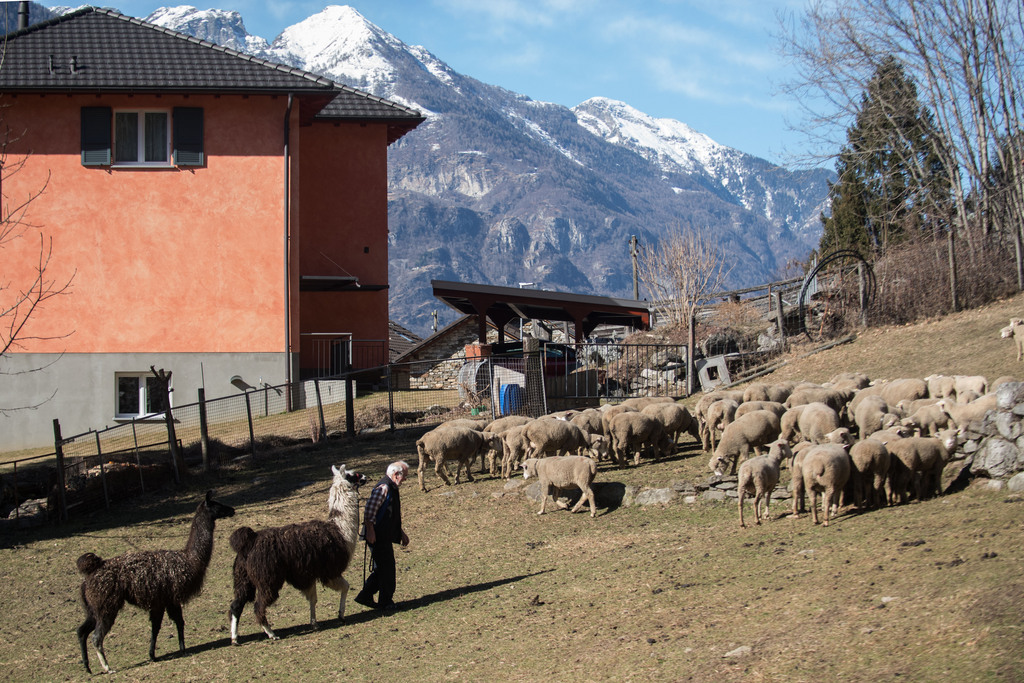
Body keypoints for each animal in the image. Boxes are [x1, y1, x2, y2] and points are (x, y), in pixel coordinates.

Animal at [76, 491, 236, 671]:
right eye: (217, 505)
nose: (232, 510)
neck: (190, 558)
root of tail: (90, 574)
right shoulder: (171, 597)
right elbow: (178, 622)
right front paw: (182, 649)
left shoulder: (160, 601)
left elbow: (156, 627)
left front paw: (153, 655)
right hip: (106, 605)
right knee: (96, 636)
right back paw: (108, 667)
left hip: (92, 608)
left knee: (81, 631)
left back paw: (87, 667)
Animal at [228, 464, 368, 647]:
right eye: (352, 475)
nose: (365, 477)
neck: (340, 530)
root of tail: (250, 541)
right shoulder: (329, 572)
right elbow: (345, 586)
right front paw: (341, 615)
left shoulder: (308, 574)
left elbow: (313, 598)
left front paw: (314, 623)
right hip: (268, 579)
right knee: (258, 606)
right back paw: (271, 633)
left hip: (243, 579)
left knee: (236, 605)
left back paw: (235, 638)